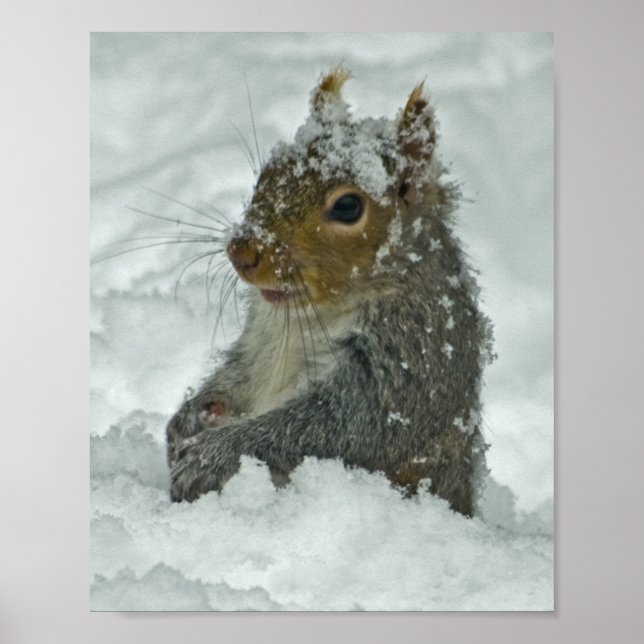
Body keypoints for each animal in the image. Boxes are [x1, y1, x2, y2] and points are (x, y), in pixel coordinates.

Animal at [166, 68, 494, 517]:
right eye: (266, 174)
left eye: (347, 207)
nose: (242, 251)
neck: (309, 311)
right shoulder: (258, 344)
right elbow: (235, 377)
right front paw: (187, 420)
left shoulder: (406, 360)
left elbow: (334, 429)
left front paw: (210, 454)